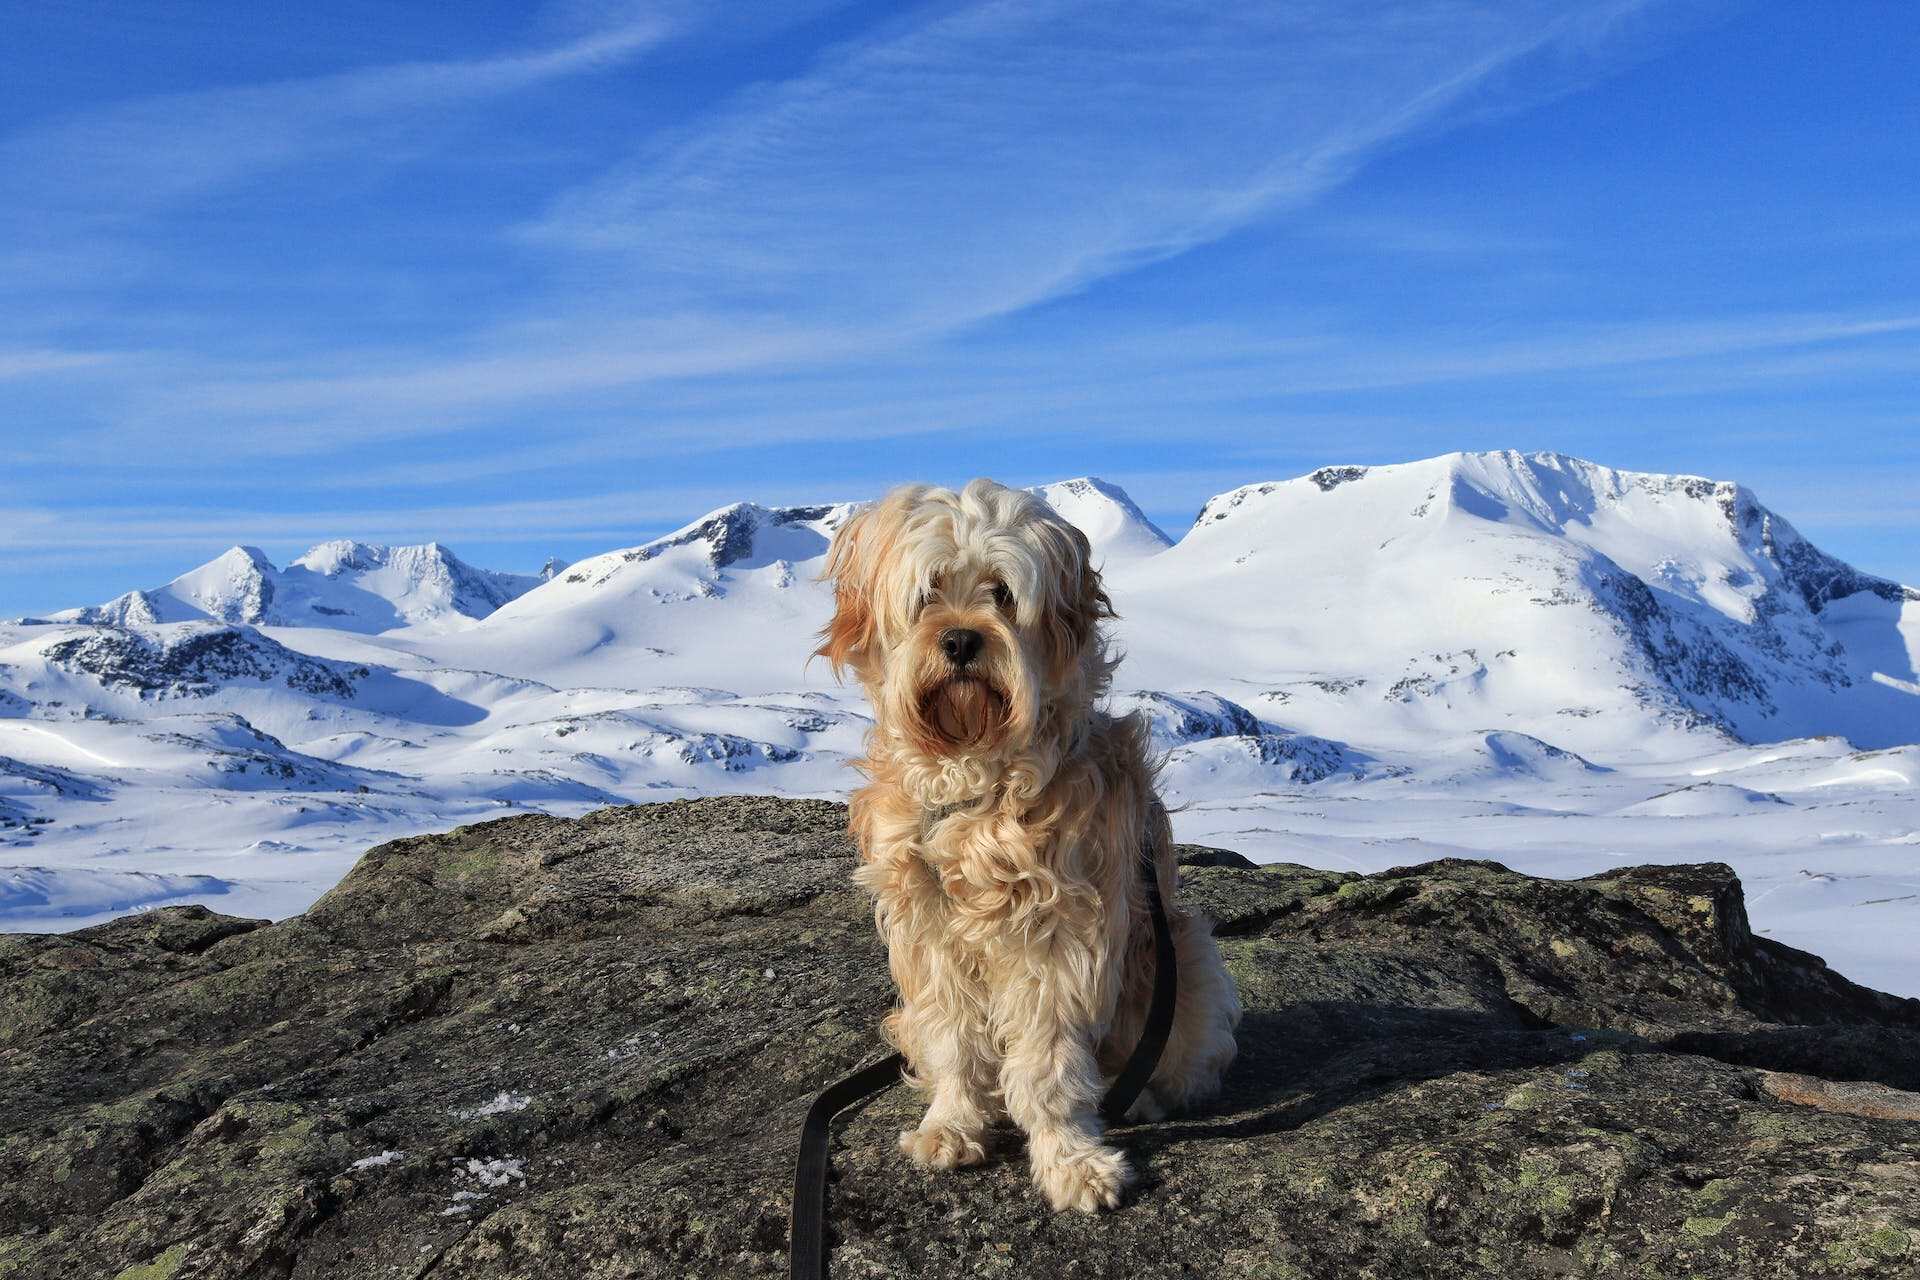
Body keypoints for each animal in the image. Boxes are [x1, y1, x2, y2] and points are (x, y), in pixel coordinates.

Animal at [814, 477, 1236, 1212]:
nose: (960, 641)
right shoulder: (930, 934)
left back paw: (1142, 1096)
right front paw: (953, 1125)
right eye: (928, 591)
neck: (976, 782)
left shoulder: (1060, 935)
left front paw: (1073, 1159)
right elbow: (956, 1045)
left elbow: (1050, 1063)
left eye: (1003, 593)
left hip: (1184, 962)